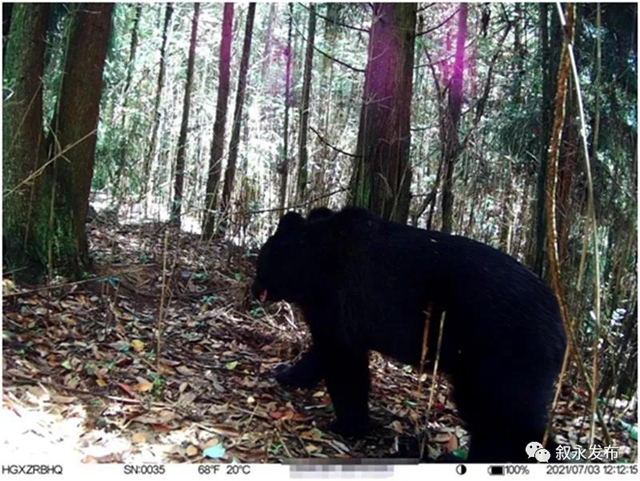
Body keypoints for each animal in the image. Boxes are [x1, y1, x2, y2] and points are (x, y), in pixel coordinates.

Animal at [251, 206, 564, 462]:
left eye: (260, 260)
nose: (254, 289)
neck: (314, 261)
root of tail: (561, 331)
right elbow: (322, 354)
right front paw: (286, 372)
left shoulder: (337, 302)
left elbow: (343, 362)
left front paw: (347, 425)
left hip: (504, 354)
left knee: (501, 418)